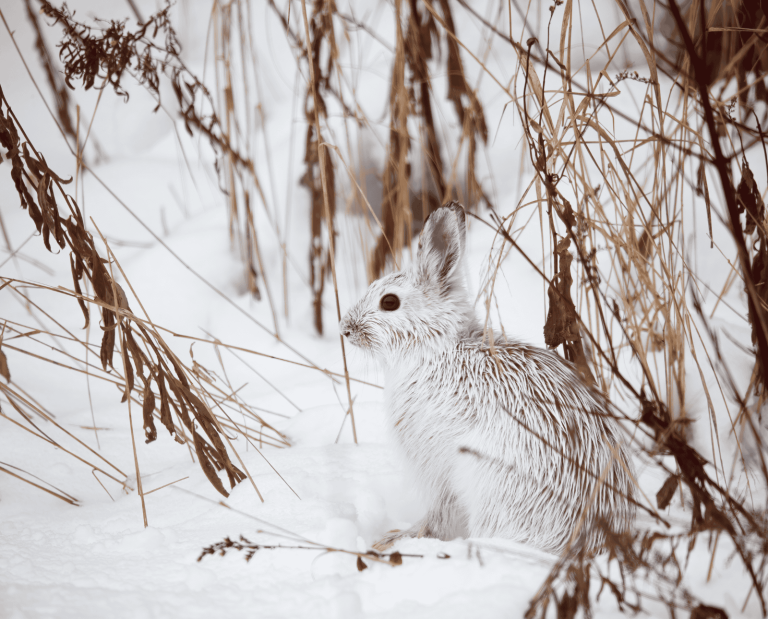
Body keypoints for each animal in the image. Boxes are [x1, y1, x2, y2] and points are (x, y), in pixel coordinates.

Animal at [339, 201, 635, 554]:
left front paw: (400, 539)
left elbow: (439, 514)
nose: (345, 329)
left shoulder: (437, 464)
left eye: (389, 302)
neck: (436, 346)